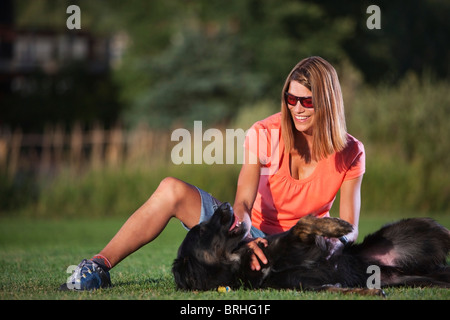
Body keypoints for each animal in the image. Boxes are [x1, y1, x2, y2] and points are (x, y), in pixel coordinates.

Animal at [172, 202, 450, 296]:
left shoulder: (294, 240)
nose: (226, 205)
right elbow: (337, 289)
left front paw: (337, 226)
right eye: (202, 231)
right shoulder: (308, 287)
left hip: (423, 231)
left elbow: (303, 223)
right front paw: (367, 291)